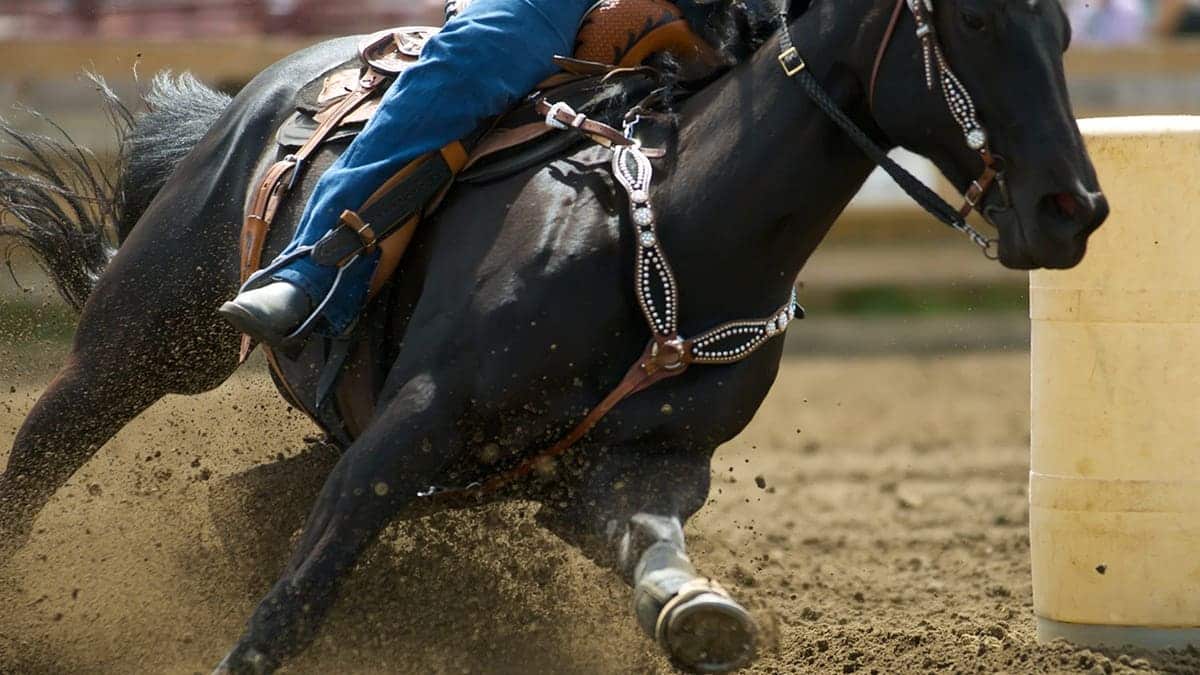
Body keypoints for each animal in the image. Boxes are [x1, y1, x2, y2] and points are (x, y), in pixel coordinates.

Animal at [0, 0, 1107, 672]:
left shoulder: (642, 465)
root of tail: (255, 97)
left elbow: (656, 552)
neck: (675, 230)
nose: (1074, 209)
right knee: (40, 453)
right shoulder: (413, 428)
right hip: (140, 346)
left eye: (1062, 27)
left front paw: (698, 614)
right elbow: (298, 598)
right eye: (974, 17)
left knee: (236, 504)